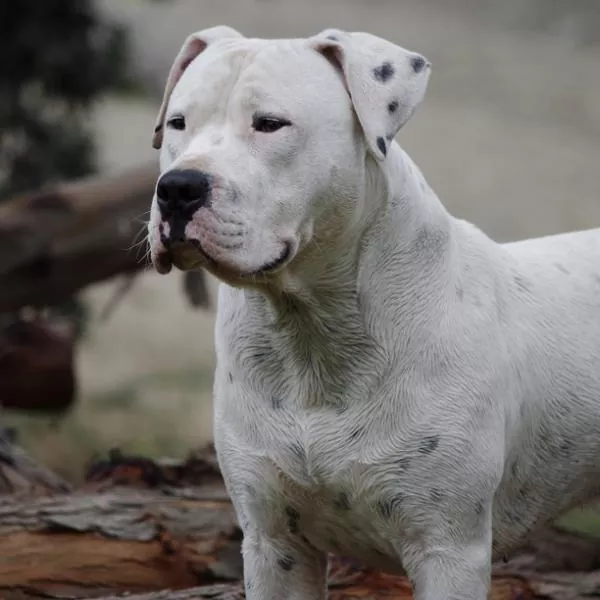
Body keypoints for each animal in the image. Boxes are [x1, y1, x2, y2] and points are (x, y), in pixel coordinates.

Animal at [148, 25, 600, 596]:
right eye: (178, 122)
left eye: (270, 123)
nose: (178, 187)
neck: (311, 333)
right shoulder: (275, 545)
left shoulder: (447, 549)